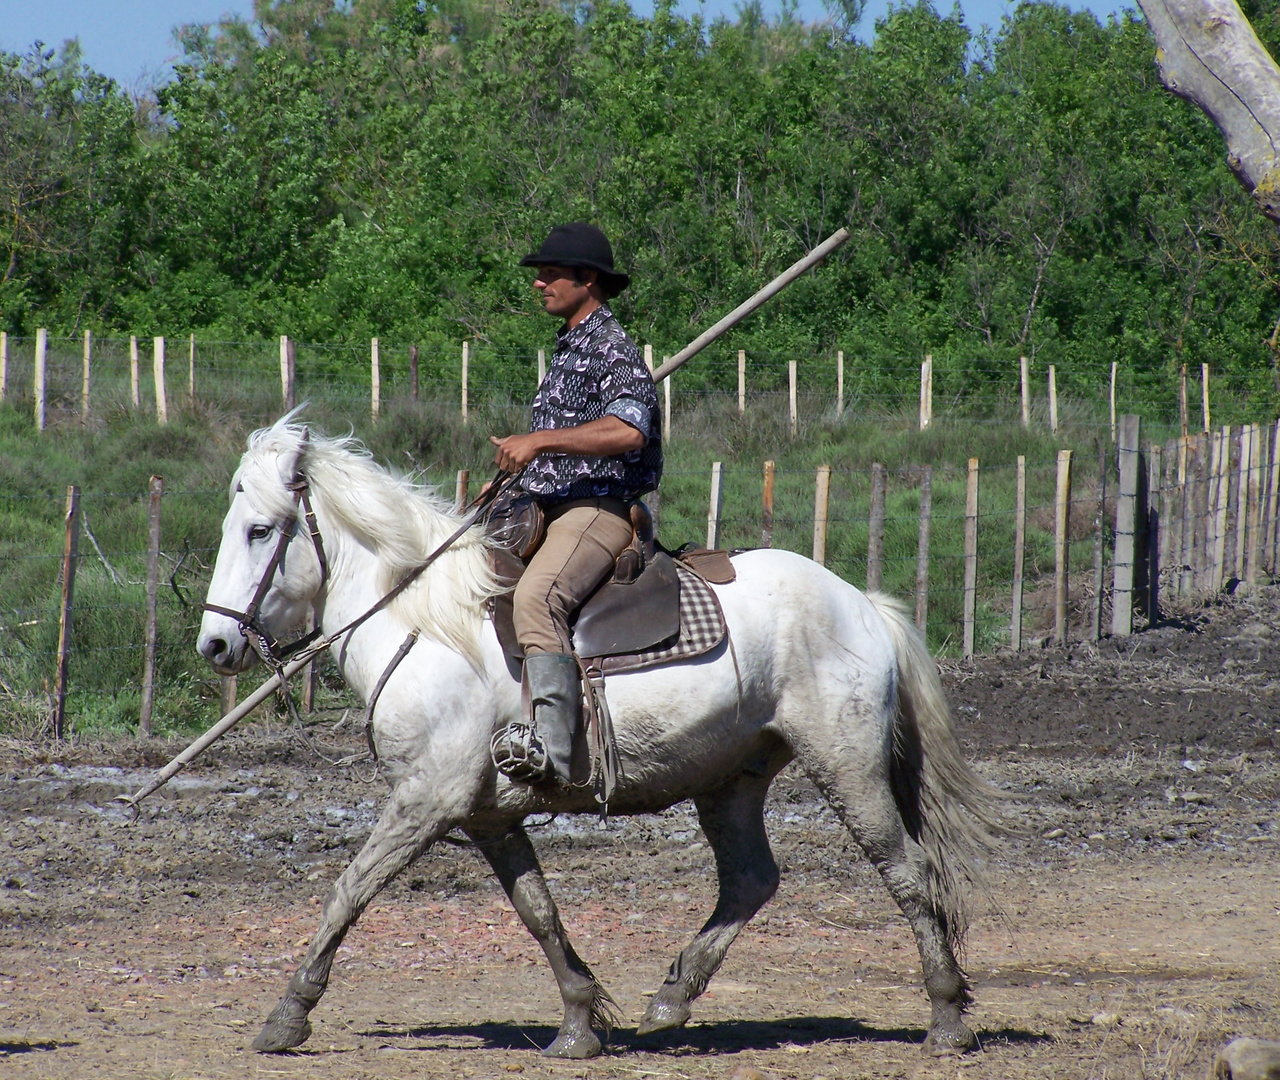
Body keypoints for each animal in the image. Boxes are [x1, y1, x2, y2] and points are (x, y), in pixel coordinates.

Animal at [194, 417, 1003, 1059]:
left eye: (259, 530)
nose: (214, 644)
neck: (427, 623)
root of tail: (859, 602)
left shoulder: (427, 799)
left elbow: (349, 891)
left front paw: (287, 1015)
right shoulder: (487, 816)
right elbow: (538, 912)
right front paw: (581, 1023)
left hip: (846, 764)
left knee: (906, 870)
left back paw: (946, 1019)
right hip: (731, 779)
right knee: (751, 879)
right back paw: (672, 997)